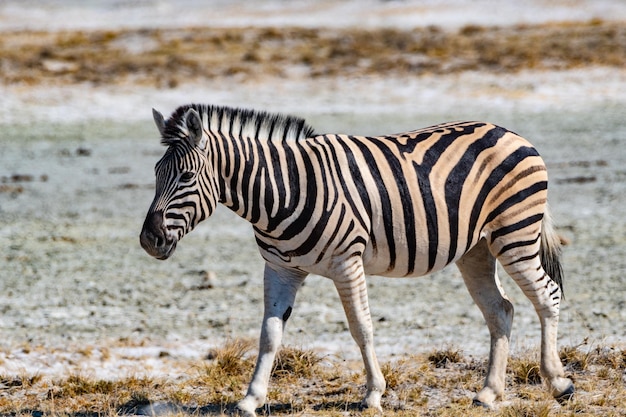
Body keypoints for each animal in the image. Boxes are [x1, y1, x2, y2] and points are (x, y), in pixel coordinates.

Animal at [139, 103, 572, 412]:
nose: (148, 240)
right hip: (476, 249)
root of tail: (510, 132)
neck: (280, 192)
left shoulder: (348, 261)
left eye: (186, 177)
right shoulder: (279, 268)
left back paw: (559, 382)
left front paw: (373, 394)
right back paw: (488, 393)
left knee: (547, 296)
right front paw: (251, 397)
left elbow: (361, 327)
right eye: (157, 173)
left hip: (515, 235)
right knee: (501, 309)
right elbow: (269, 333)